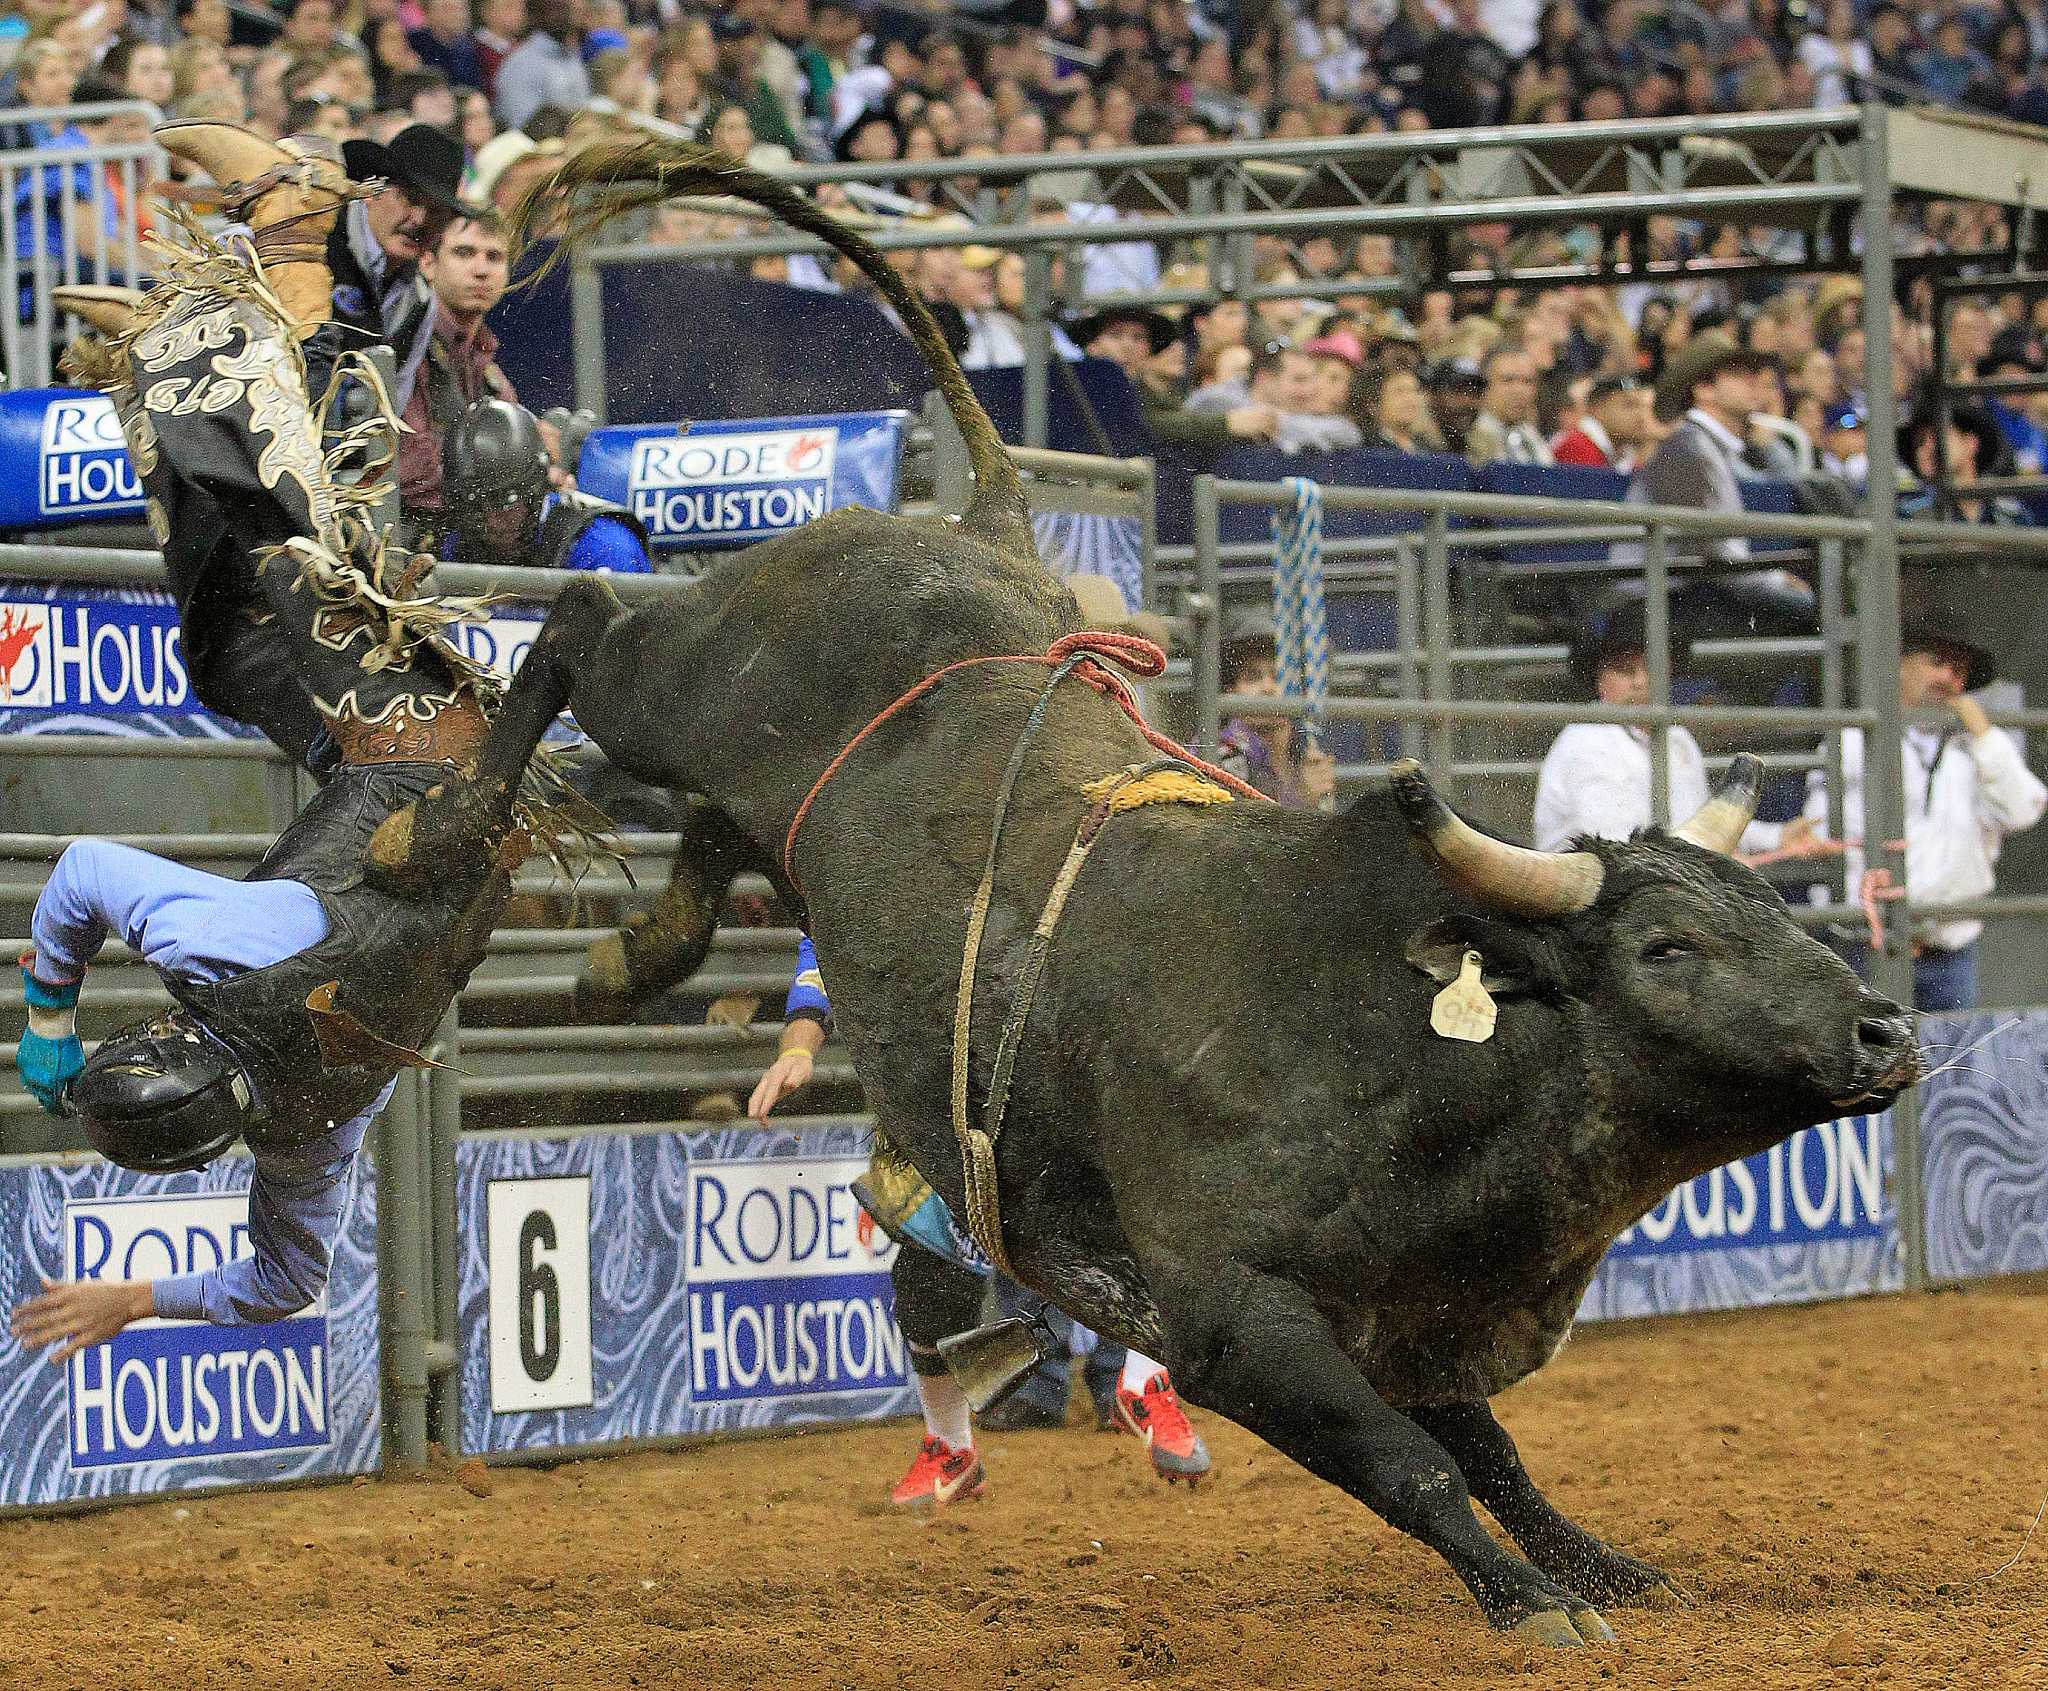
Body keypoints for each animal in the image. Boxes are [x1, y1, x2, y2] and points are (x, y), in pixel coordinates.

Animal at [376, 141, 1925, 1637]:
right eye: (1665, 946)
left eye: (1774, 915)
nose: (1885, 1030)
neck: (1396, 1035)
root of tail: (985, 530)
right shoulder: (1235, 1317)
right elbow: (1416, 1461)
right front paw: (1534, 1604)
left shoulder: (1407, 1312)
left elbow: (1492, 1452)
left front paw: (1602, 1565)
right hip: (682, 685)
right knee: (582, 623)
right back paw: (436, 830)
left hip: (764, 807)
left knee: (711, 835)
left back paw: (632, 953)